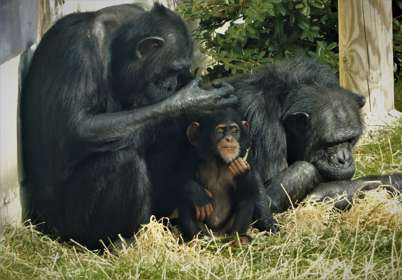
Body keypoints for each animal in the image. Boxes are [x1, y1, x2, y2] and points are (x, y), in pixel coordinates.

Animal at [20, 3, 237, 249]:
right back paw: (116, 242)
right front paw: (190, 102)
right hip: (67, 228)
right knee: (122, 159)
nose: (171, 85)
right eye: (170, 70)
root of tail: (42, 224)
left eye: (178, 72)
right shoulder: (77, 50)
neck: (116, 48)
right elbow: (76, 128)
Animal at [178, 108, 276, 242]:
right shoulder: (192, 154)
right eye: (220, 131)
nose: (229, 138)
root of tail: (218, 236)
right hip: (206, 230)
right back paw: (194, 239)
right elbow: (179, 177)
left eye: (234, 130)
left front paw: (242, 172)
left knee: (247, 197)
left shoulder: (247, 156)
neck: (219, 159)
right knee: (186, 199)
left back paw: (239, 238)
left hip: (227, 230)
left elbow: (254, 184)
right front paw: (198, 194)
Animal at [223, 58, 402, 212]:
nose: (344, 159)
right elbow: (265, 201)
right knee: (304, 169)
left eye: (350, 139)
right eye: (330, 144)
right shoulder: (261, 122)